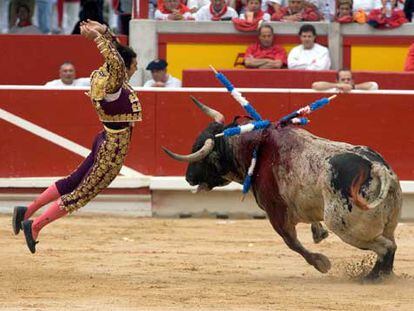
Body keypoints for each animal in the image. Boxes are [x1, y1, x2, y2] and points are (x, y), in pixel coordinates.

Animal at [163, 97, 402, 280]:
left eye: (199, 152)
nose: (188, 177)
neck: (255, 148)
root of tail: (378, 168)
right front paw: (319, 234)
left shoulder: (275, 212)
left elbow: (291, 242)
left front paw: (321, 263)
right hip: (386, 221)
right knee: (391, 244)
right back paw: (383, 275)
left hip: (346, 225)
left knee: (386, 247)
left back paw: (372, 277)